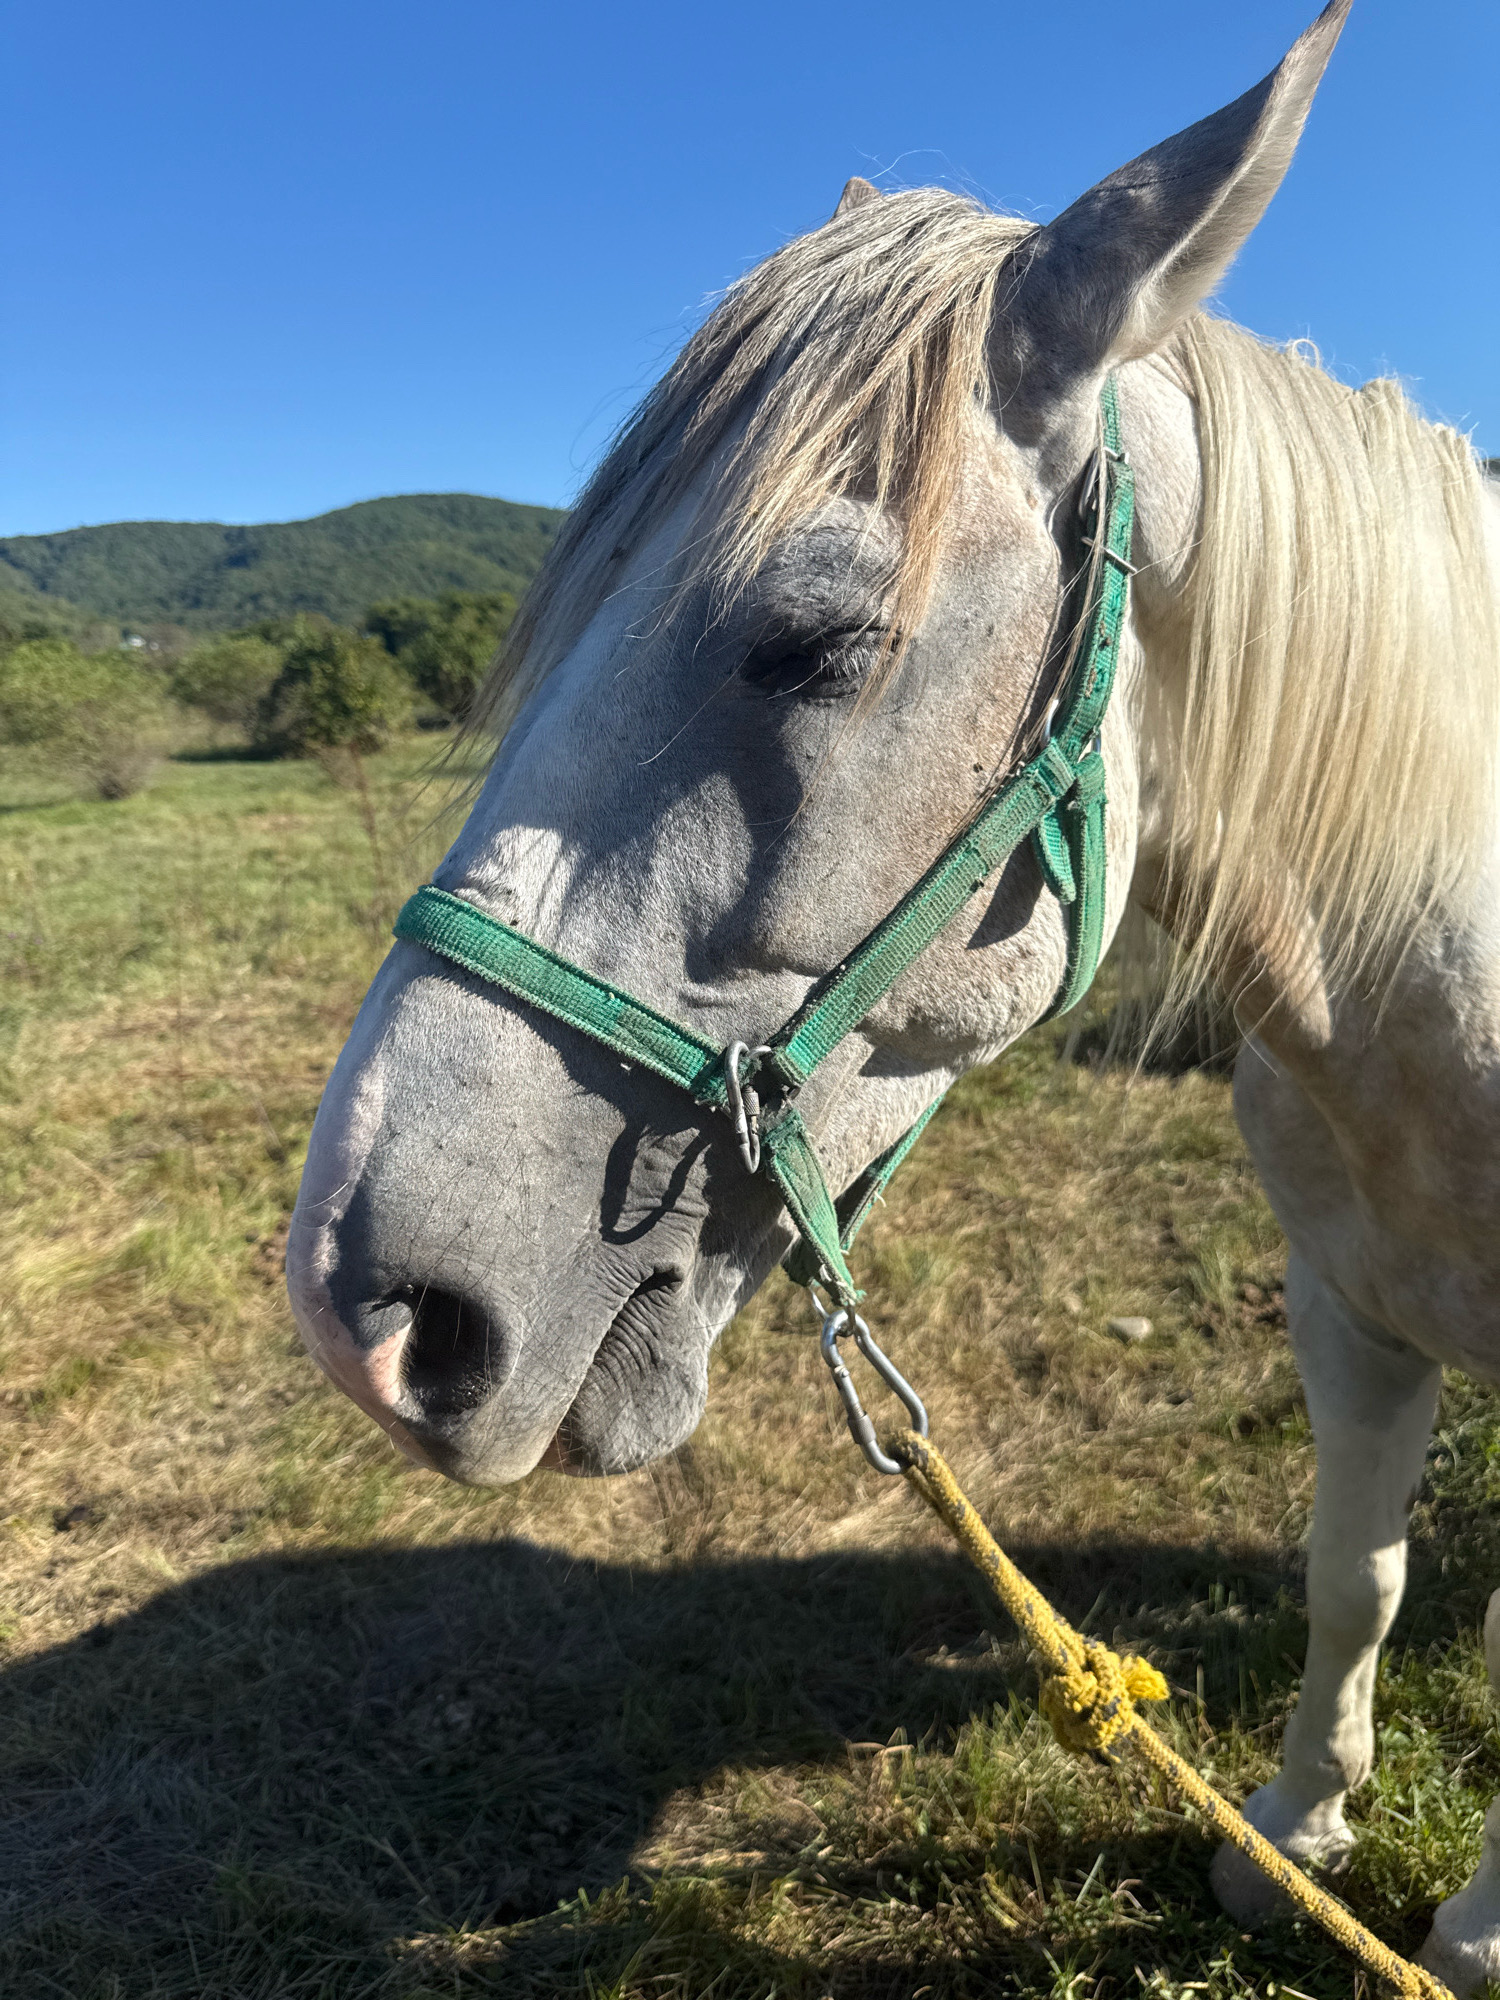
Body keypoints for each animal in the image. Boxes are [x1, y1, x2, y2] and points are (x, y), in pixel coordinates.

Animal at [284, 1, 1500, 1983]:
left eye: (816, 643)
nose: (365, 1312)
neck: (1426, 1023)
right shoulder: (1345, 1305)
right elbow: (1354, 1571)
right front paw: (1296, 1832)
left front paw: (1470, 1929)